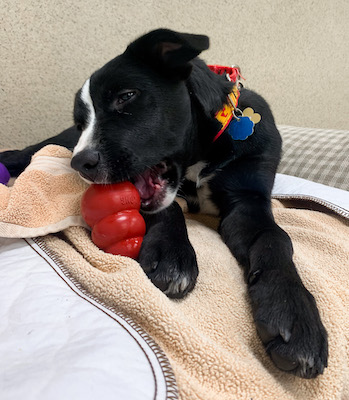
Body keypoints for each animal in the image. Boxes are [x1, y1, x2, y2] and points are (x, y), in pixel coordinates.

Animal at [0, 28, 326, 378]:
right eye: (80, 123)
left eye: (126, 96)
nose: (81, 164)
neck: (204, 153)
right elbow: (166, 210)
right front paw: (171, 254)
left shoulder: (248, 202)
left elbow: (275, 238)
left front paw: (294, 312)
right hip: (55, 144)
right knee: (25, 152)